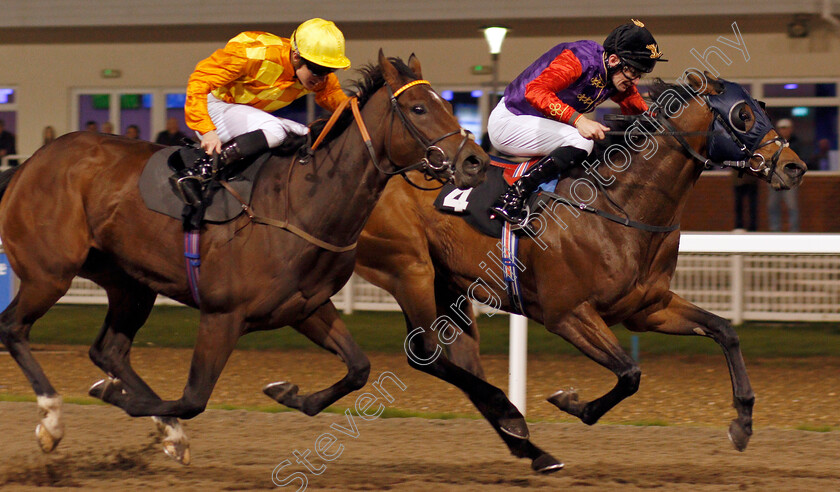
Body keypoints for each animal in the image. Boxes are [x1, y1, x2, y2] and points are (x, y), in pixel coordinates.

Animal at [0, 52, 486, 464]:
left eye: (447, 103)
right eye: (419, 109)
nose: (476, 162)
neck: (299, 204)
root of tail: (29, 163)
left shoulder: (306, 307)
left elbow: (358, 369)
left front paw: (286, 392)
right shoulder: (222, 315)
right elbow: (194, 397)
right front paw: (114, 399)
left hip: (129, 283)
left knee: (109, 350)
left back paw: (164, 430)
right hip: (50, 273)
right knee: (14, 327)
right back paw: (51, 419)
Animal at [352, 70, 808, 472]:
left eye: (763, 108)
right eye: (743, 115)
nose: (794, 167)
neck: (618, 207)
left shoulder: (649, 309)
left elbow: (724, 331)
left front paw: (743, 422)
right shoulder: (567, 314)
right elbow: (630, 374)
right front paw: (571, 402)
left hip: (449, 286)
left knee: (460, 360)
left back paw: (527, 443)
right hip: (410, 271)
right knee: (423, 353)